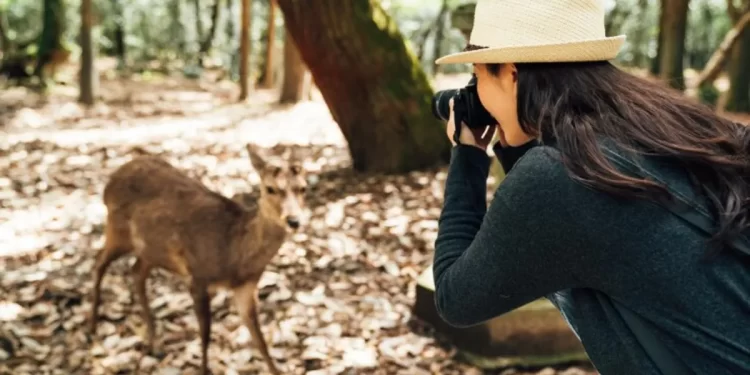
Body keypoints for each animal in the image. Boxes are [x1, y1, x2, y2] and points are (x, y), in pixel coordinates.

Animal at [89, 145, 310, 375]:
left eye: (303, 188)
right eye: (270, 189)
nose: (294, 220)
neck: (235, 255)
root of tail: (111, 180)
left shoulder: (247, 288)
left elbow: (259, 339)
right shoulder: (197, 278)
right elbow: (205, 334)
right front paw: (203, 369)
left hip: (151, 250)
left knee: (136, 272)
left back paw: (155, 344)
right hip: (117, 230)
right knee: (99, 263)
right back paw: (92, 327)